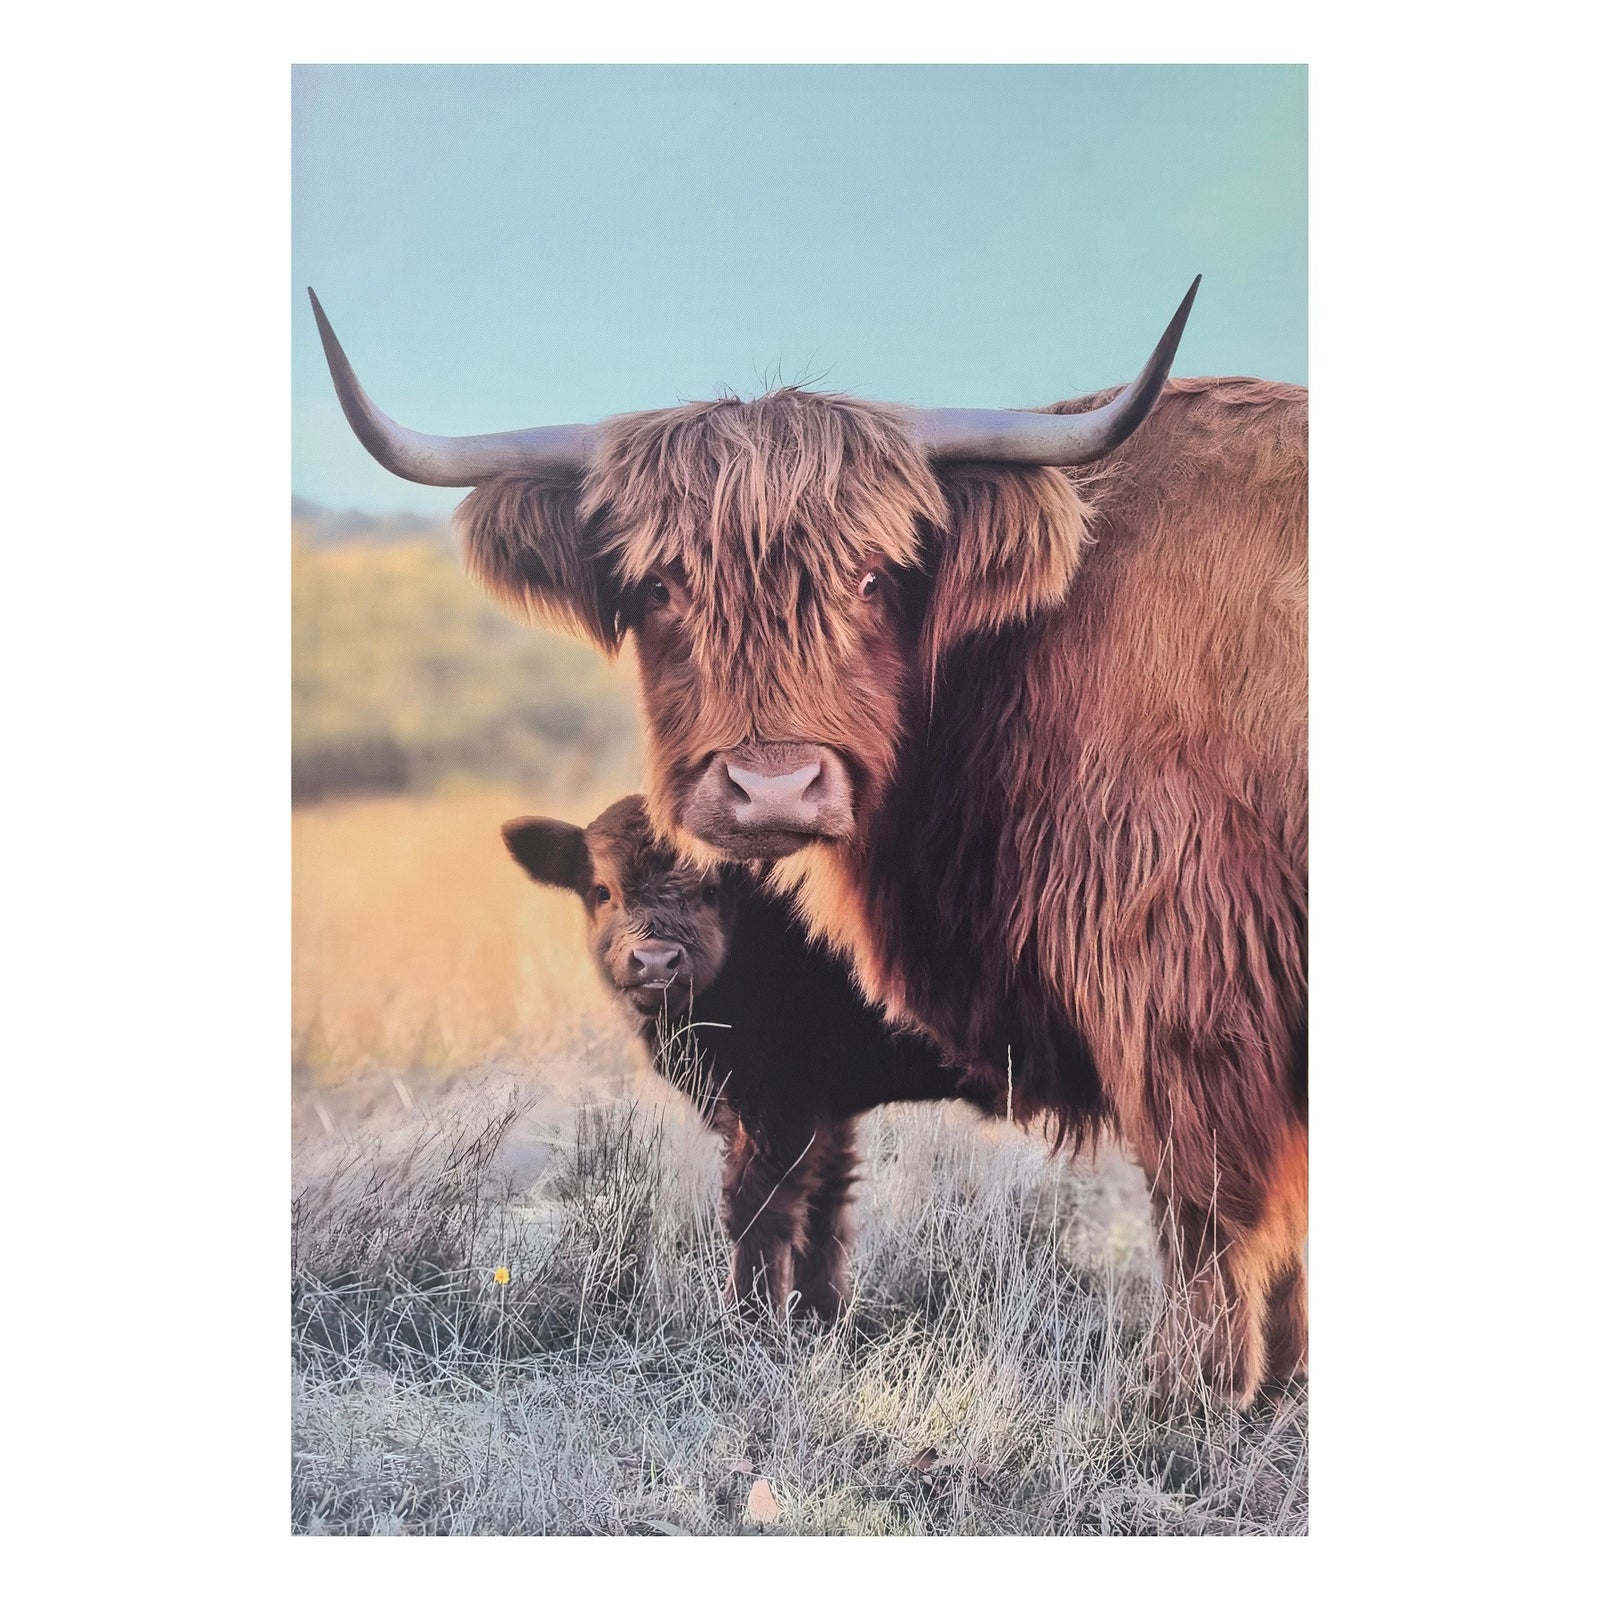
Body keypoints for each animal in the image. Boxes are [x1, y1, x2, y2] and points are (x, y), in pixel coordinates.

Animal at [501, 794, 988, 1316]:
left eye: (711, 890)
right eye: (601, 891)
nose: (655, 961)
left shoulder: (777, 1104)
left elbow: (755, 1208)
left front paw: (746, 1315)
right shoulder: (825, 1110)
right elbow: (825, 1205)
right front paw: (820, 1311)